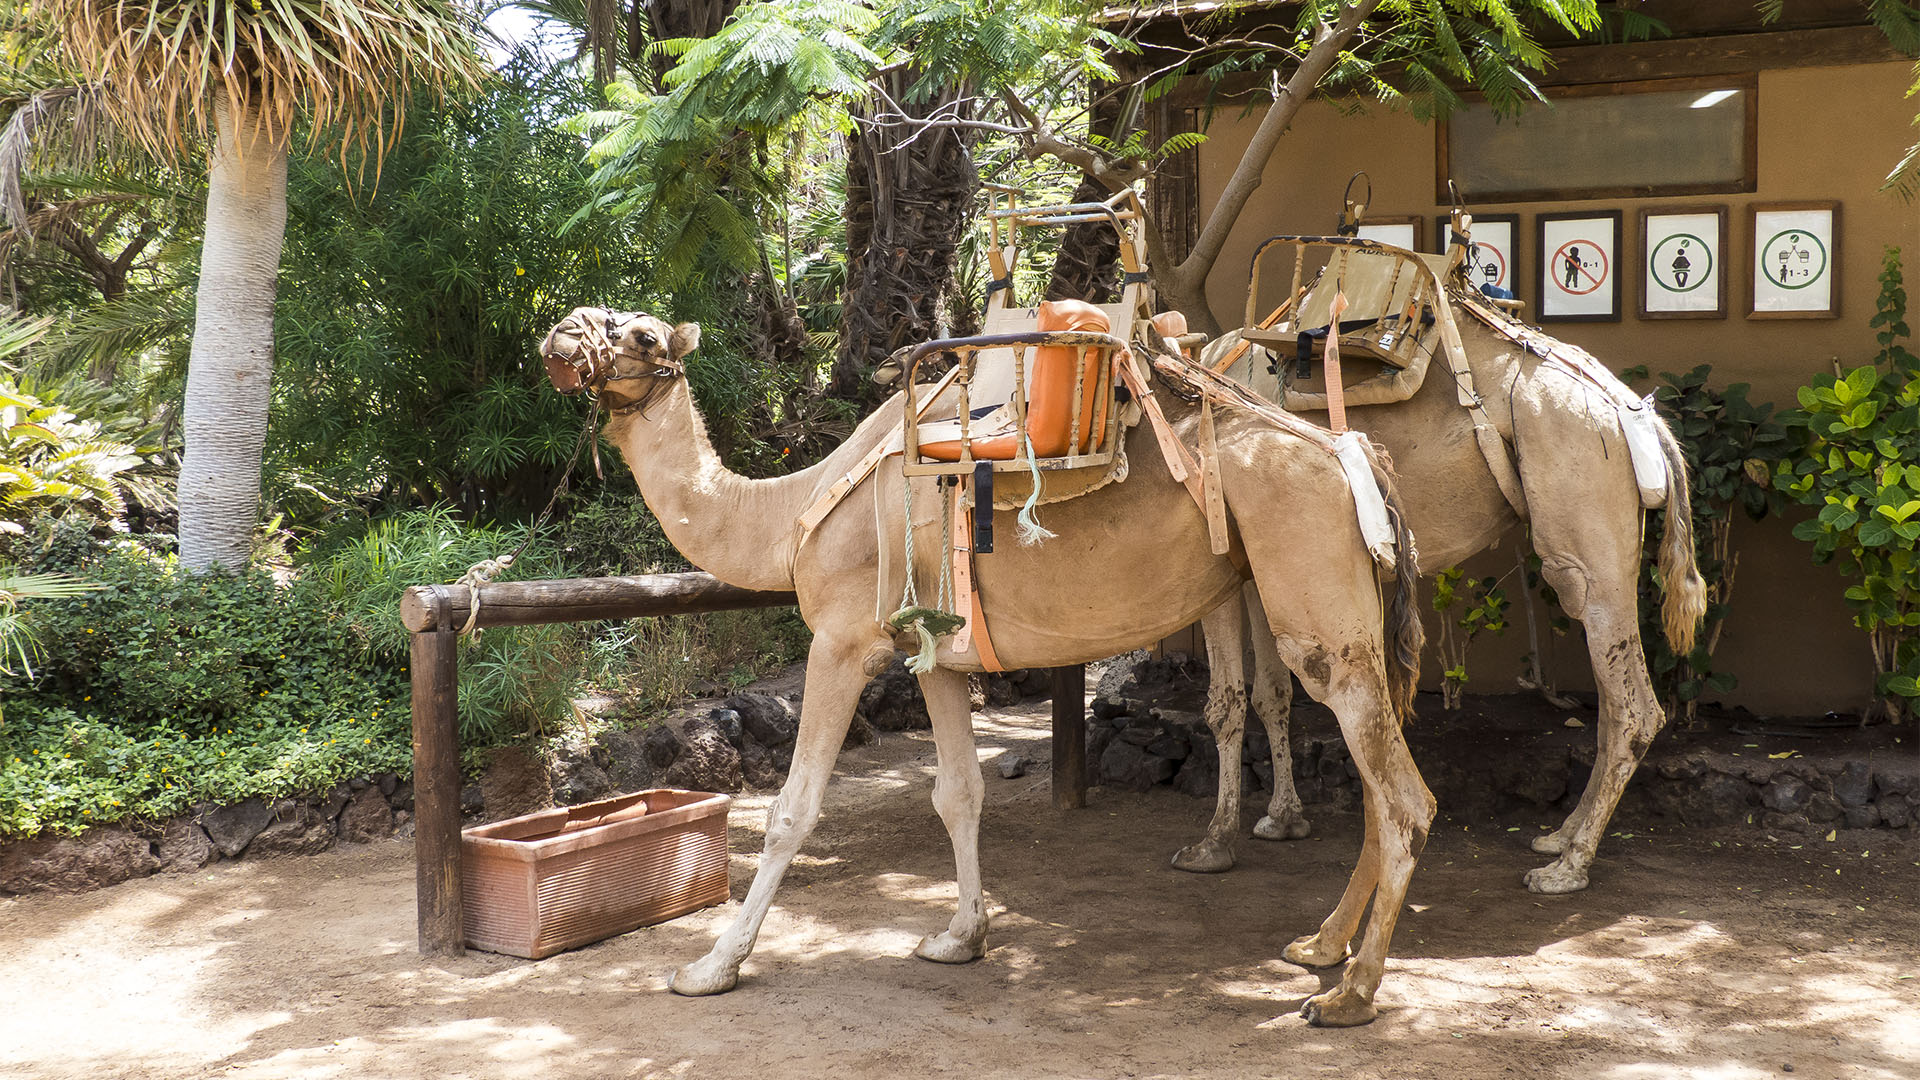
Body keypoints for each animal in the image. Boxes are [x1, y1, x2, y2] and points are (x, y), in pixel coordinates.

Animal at [533, 305, 1436, 1022]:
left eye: (641, 333)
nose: (559, 331)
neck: (789, 511)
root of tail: (1356, 455)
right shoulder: (933, 654)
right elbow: (959, 793)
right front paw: (960, 936)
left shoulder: (842, 642)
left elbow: (793, 809)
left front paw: (712, 966)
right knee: (1377, 781)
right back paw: (1319, 945)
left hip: (1312, 590)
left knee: (1403, 795)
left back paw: (1350, 993)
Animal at [1159, 303, 1704, 891]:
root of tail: (1640, 414)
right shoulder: (1263, 574)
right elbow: (1272, 695)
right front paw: (1284, 818)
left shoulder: (1220, 566)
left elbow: (1225, 702)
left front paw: (1213, 841)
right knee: (1611, 702)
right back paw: (1559, 836)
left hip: (1587, 547)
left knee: (1633, 705)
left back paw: (1568, 866)